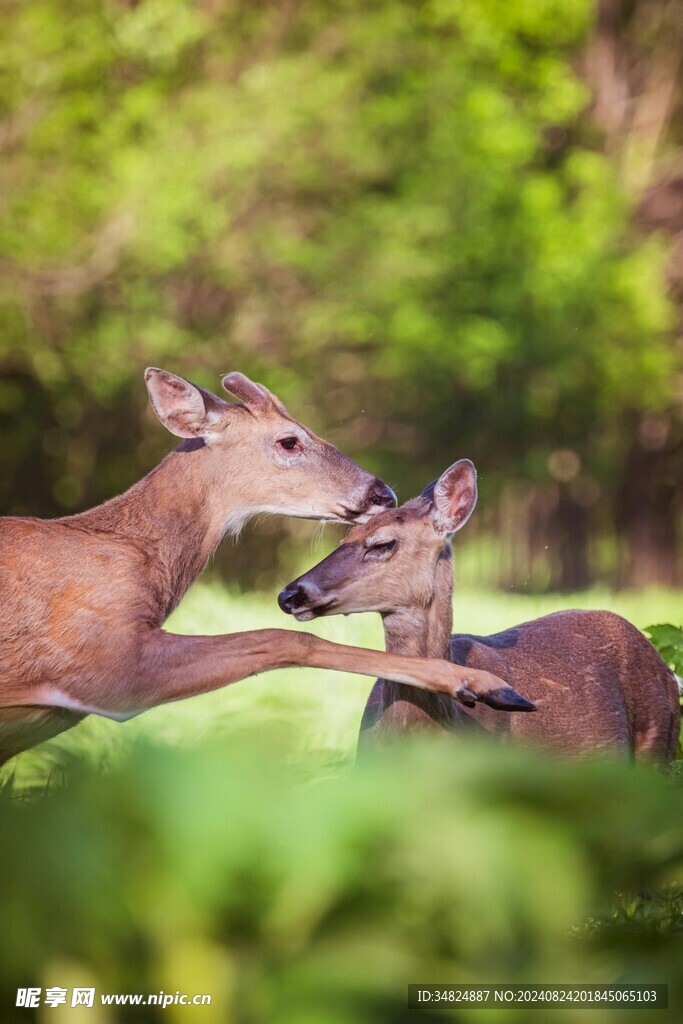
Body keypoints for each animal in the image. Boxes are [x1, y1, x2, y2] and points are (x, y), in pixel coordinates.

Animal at [0, 372, 536, 765]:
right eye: (289, 441)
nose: (382, 493)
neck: (129, 552)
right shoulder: (101, 661)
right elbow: (286, 639)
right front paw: (486, 686)